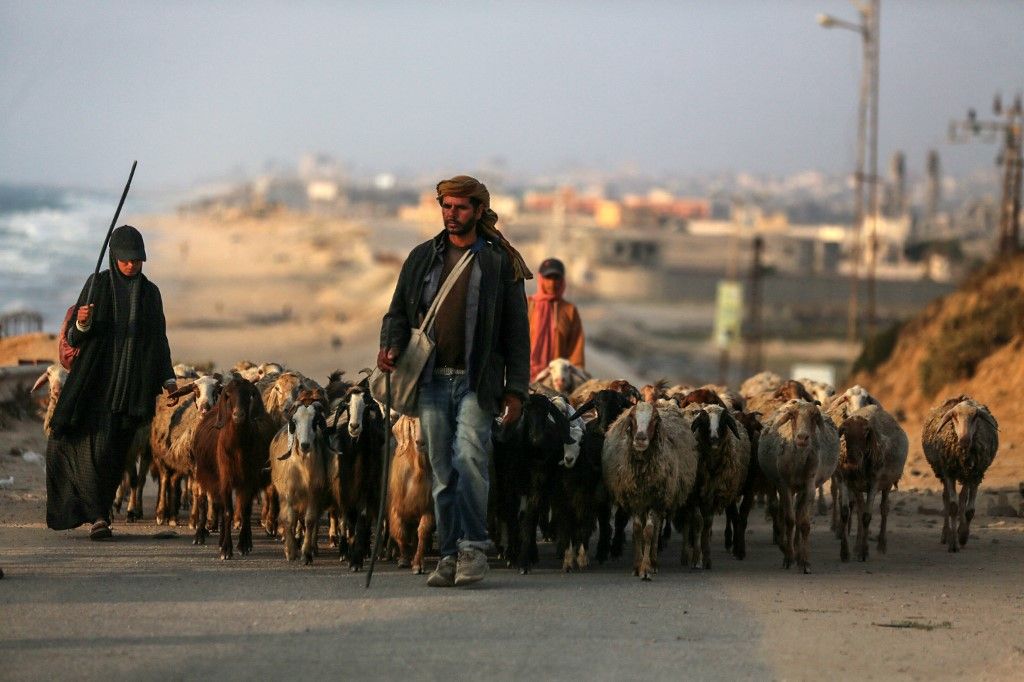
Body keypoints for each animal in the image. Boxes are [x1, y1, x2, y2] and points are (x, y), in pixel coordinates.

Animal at [925, 395, 995, 548]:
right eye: (954, 416)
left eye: (975, 417)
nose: (964, 440)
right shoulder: (949, 473)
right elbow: (952, 506)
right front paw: (953, 543)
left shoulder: (976, 475)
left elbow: (969, 511)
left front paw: (962, 536)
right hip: (943, 472)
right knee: (946, 498)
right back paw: (945, 534)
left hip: (966, 475)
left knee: (963, 497)